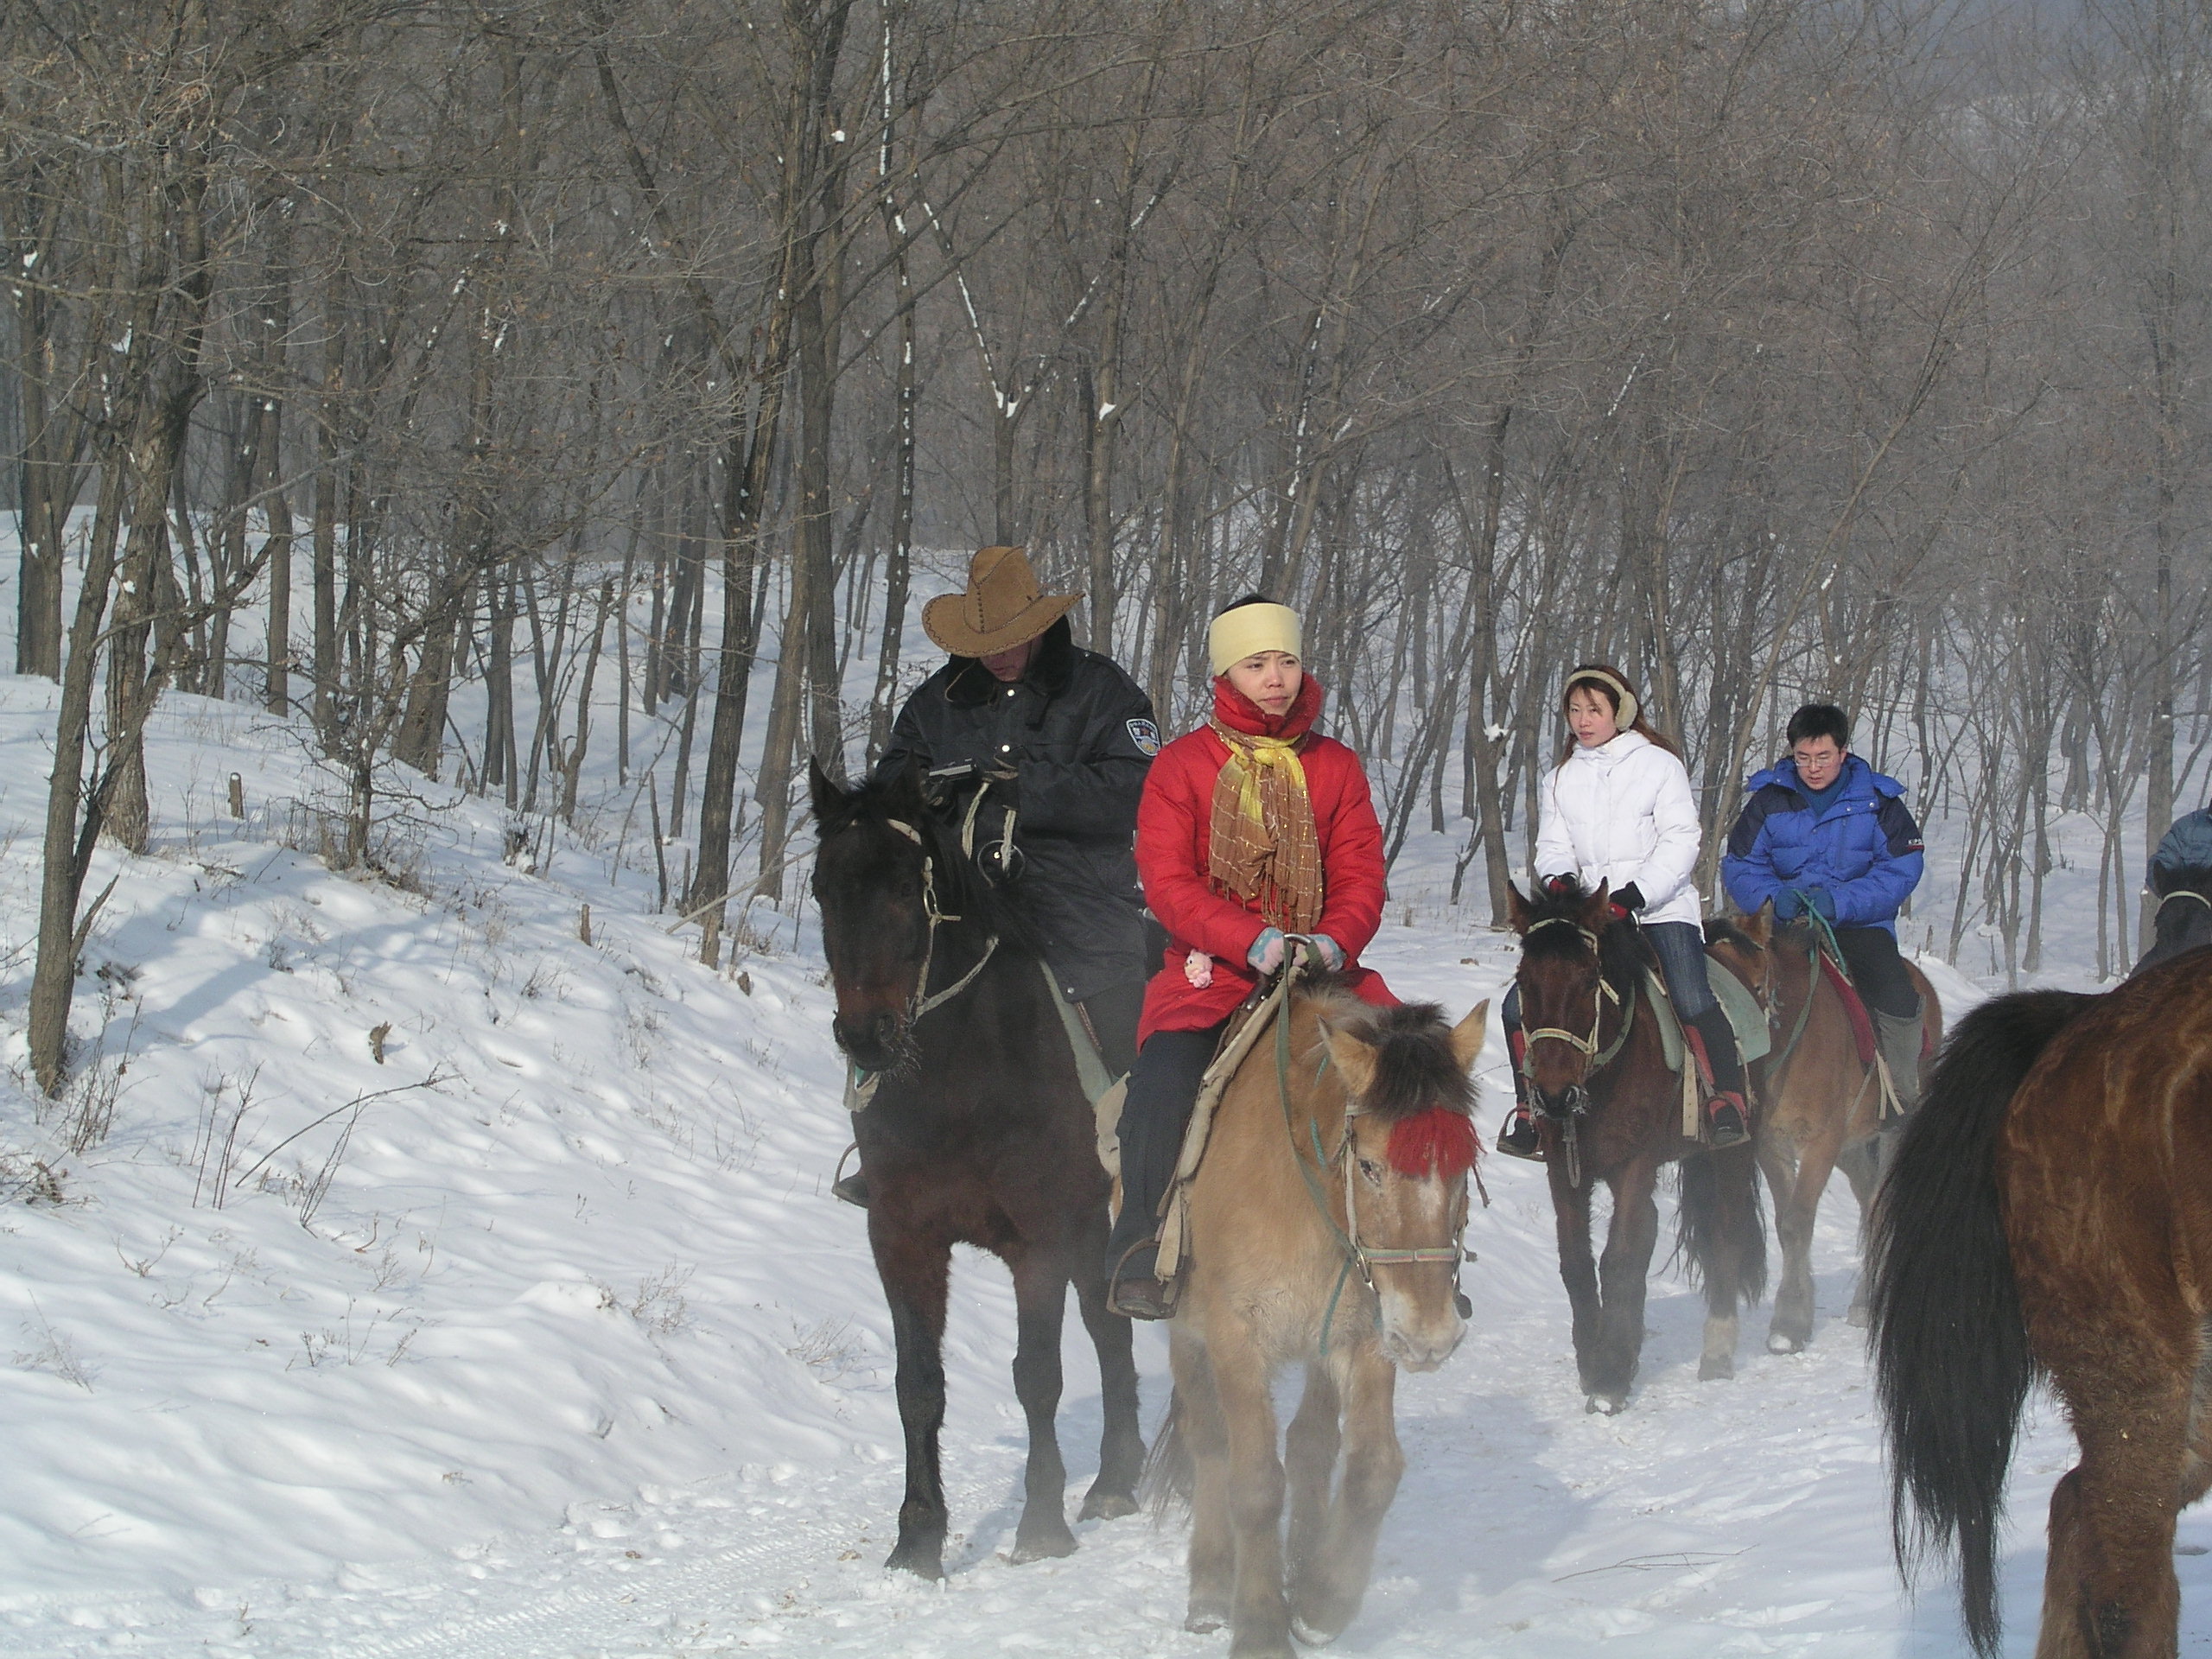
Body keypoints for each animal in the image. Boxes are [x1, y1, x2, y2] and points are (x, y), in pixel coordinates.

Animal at [804, 760, 1141, 1574]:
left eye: (905, 887)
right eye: (823, 889)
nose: (866, 1035)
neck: (965, 1073)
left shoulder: (1039, 1242)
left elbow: (1037, 1376)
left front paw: (1041, 1525)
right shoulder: (903, 1238)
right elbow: (918, 1385)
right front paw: (918, 1538)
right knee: (1111, 1329)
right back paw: (1119, 1477)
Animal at [1141, 986, 1486, 1659]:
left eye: (1463, 1167)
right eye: (1371, 1166)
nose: (1430, 1337)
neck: (1302, 1187)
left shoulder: (1370, 1332)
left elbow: (1373, 1469)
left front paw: (1322, 1603)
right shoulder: (1236, 1339)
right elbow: (1253, 1484)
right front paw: (1259, 1626)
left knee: (1311, 1445)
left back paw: (1300, 1567)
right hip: (1188, 1338)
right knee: (1209, 1443)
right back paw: (1212, 1588)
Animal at [1503, 885, 1760, 1415]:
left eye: (1587, 981)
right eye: (1523, 981)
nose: (1554, 1097)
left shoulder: (1635, 1164)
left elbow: (1619, 1259)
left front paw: (1608, 1379)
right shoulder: (1563, 1170)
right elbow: (1577, 1262)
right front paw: (1595, 1358)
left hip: (1732, 1150)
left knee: (1726, 1232)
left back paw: (1717, 1350)